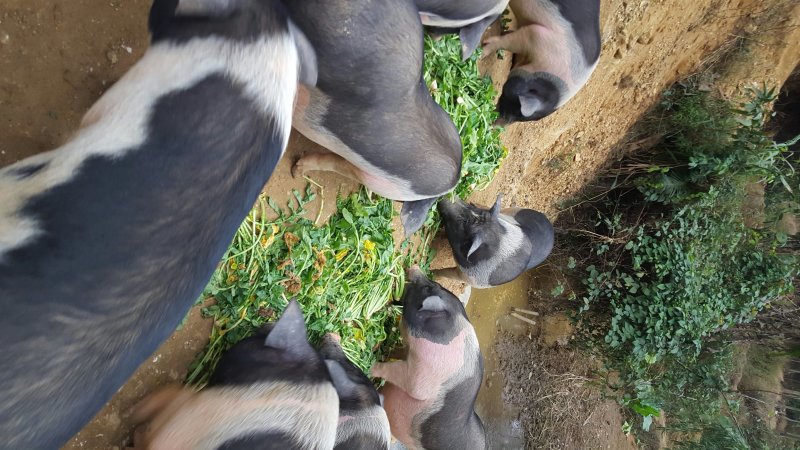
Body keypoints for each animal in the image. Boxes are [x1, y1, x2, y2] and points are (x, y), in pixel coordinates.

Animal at [370, 268, 488, 450]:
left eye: (428, 288)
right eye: (435, 284)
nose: (414, 267)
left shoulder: (421, 378)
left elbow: (398, 374)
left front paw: (371, 367)